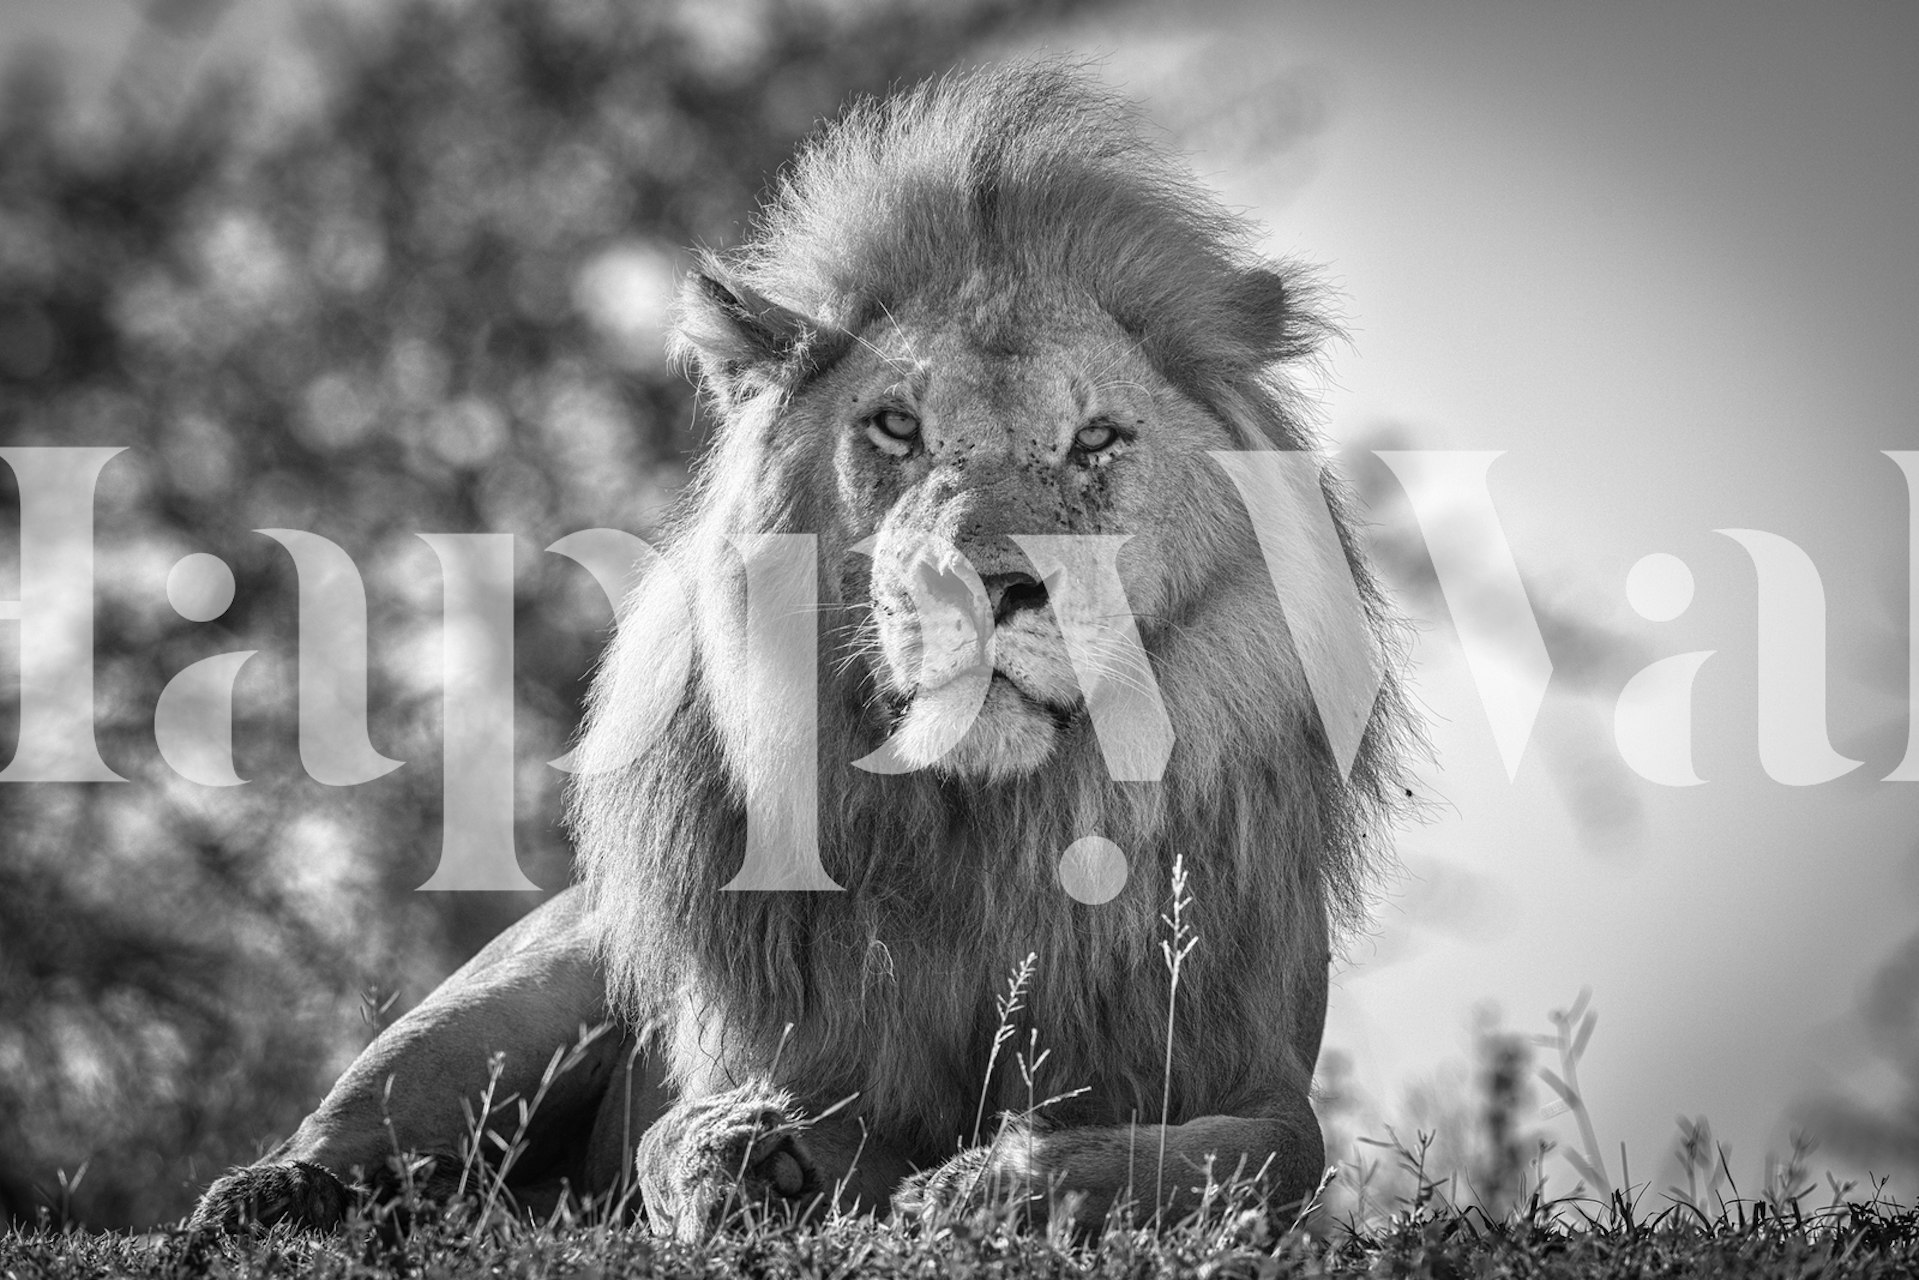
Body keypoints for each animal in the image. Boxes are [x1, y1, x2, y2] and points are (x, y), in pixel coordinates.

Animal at [190, 61, 1407, 1239]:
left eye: (1095, 438)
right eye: (896, 427)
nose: (991, 584)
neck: (991, 832)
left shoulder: (1254, 1068)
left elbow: (1251, 1159)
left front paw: (990, 1185)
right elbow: (672, 1134)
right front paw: (750, 1158)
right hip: (521, 988)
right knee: (362, 1132)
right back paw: (267, 1199)